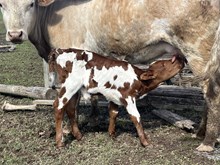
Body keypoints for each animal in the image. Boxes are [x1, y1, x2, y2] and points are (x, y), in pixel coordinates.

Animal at [48, 47, 186, 147]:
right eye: (163, 65)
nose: (179, 58)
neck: (138, 79)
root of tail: (59, 50)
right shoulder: (128, 97)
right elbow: (136, 117)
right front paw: (145, 141)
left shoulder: (114, 96)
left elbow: (113, 113)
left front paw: (112, 134)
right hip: (70, 85)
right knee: (58, 105)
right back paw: (60, 142)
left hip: (74, 89)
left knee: (71, 108)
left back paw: (78, 136)